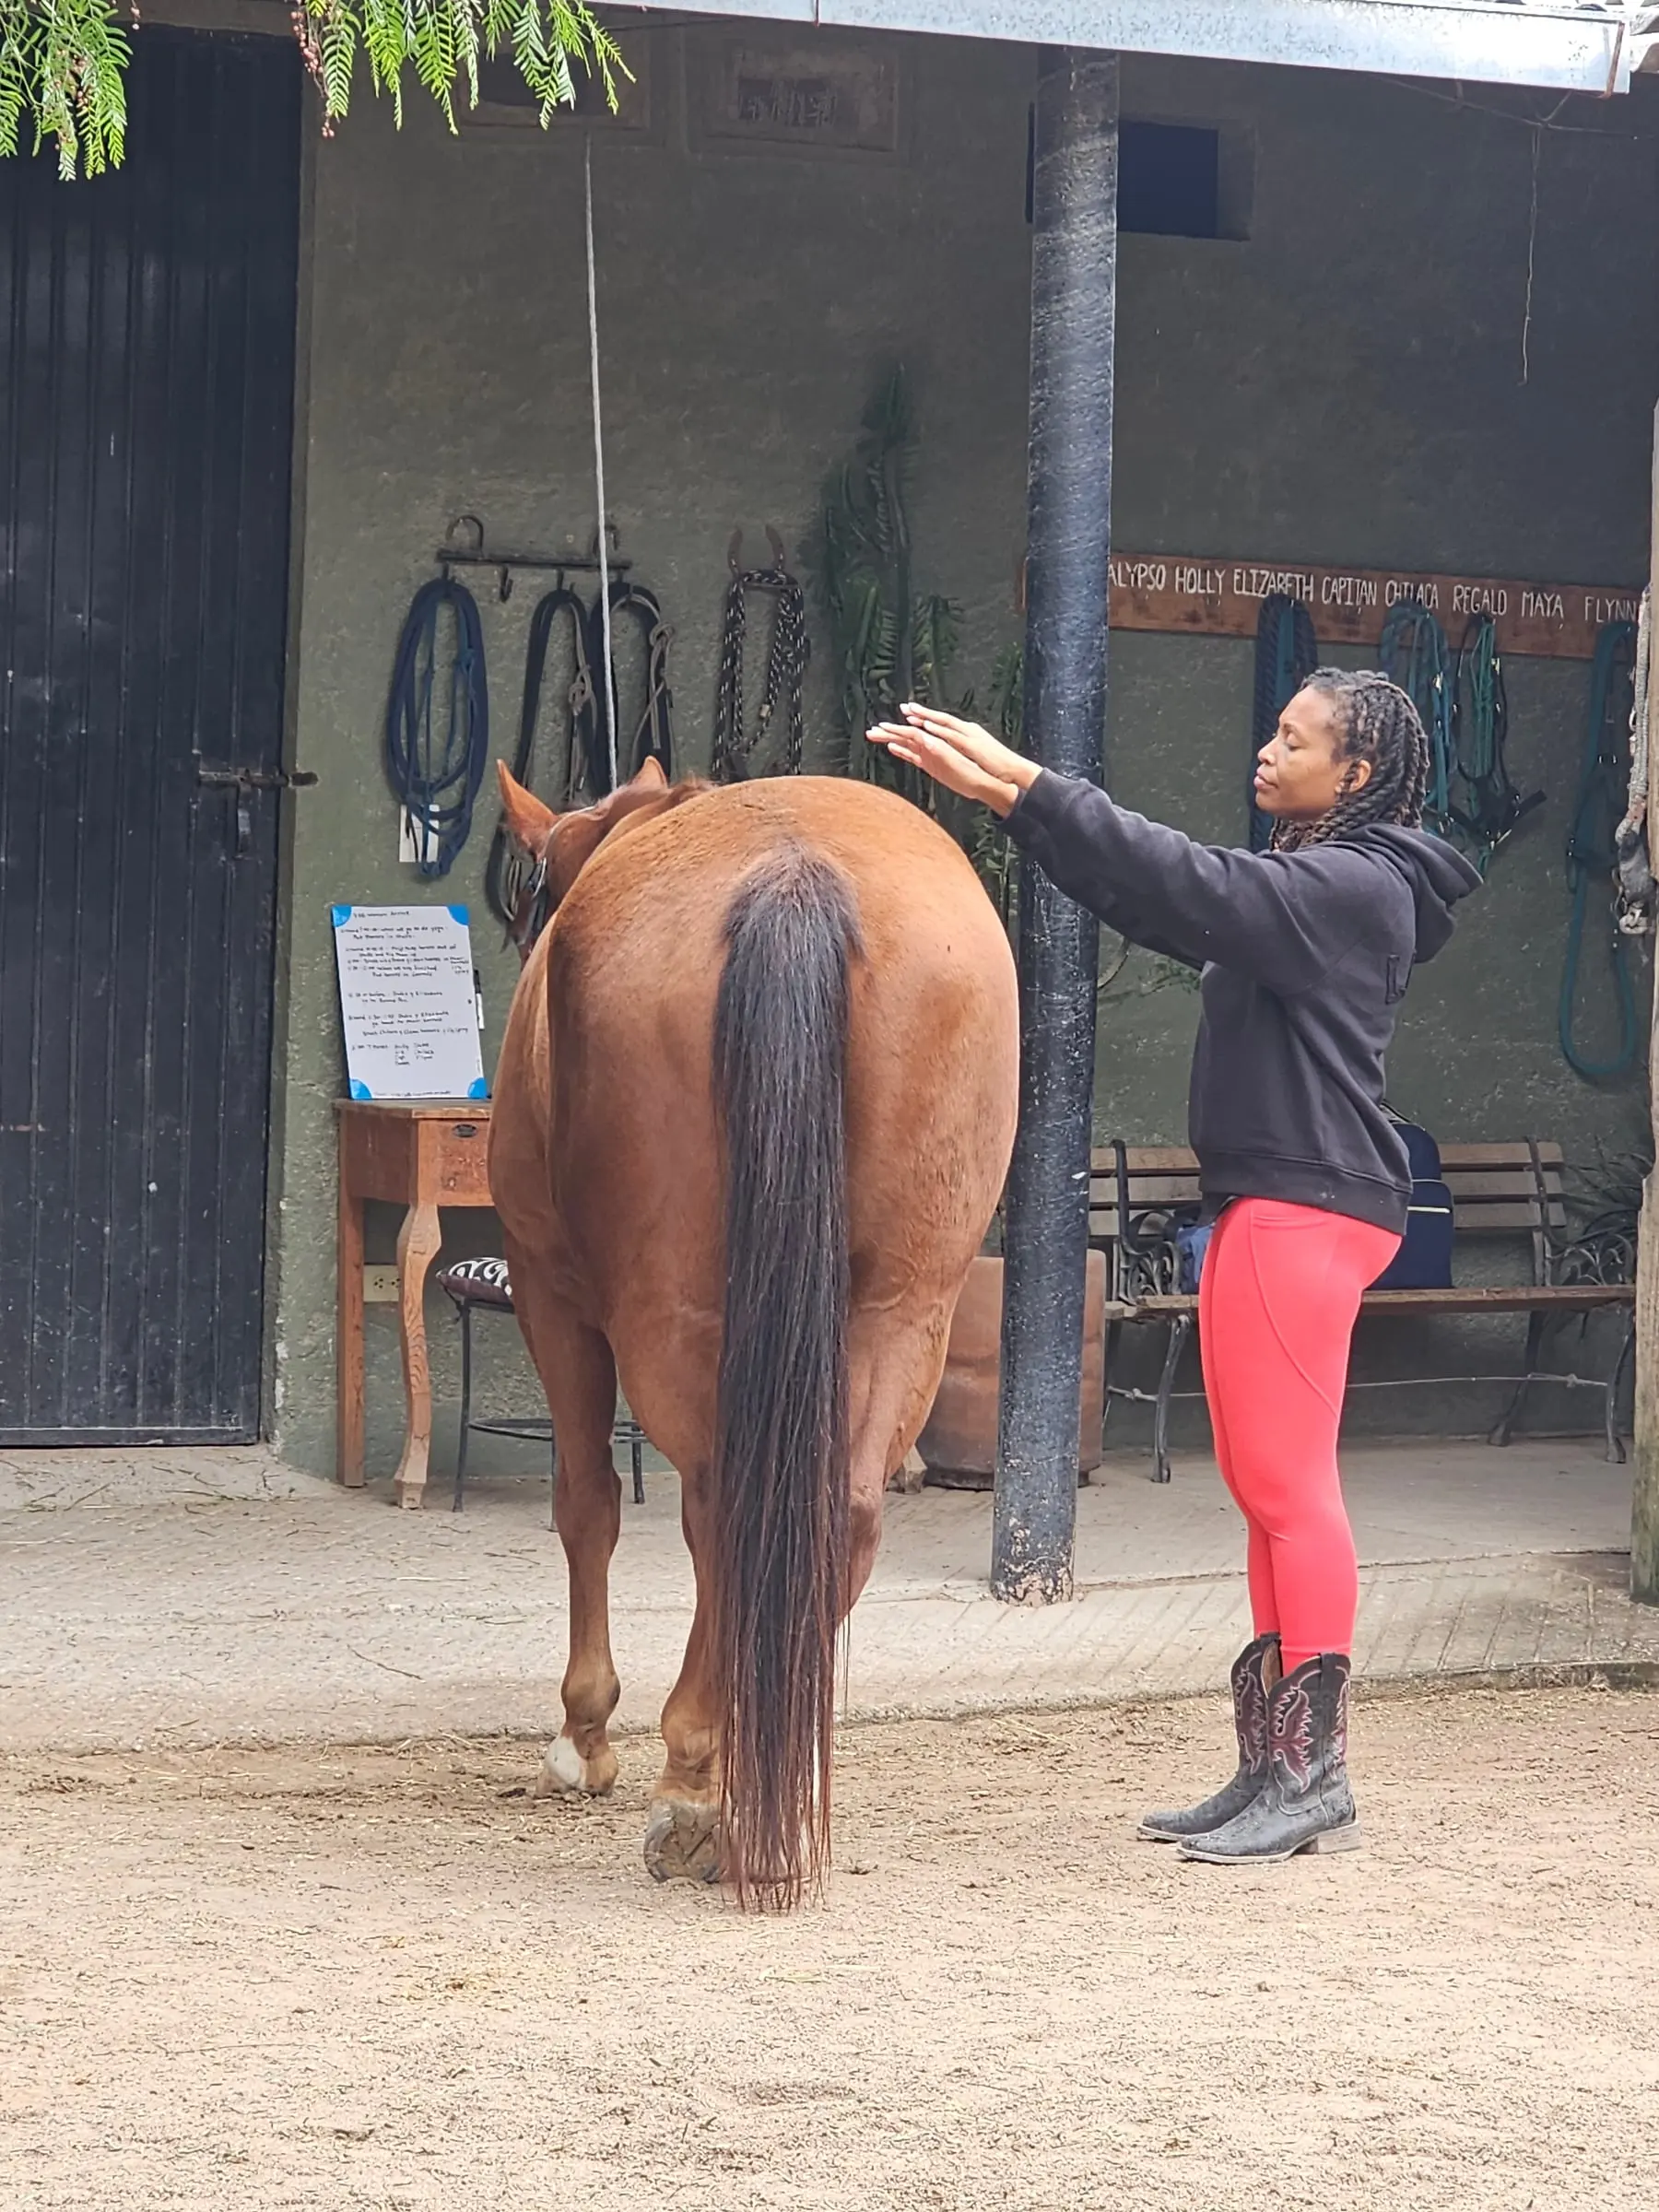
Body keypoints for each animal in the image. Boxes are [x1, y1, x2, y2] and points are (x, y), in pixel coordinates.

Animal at [488, 756, 1018, 1908]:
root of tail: (794, 878)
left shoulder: (552, 1297)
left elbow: (587, 1502)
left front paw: (583, 1737)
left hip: (671, 1319)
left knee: (722, 1506)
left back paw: (696, 1788)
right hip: (905, 1309)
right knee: (835, 1516)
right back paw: (747, 1794)